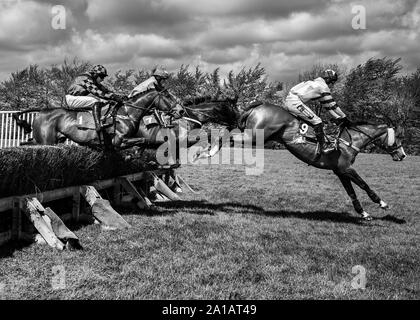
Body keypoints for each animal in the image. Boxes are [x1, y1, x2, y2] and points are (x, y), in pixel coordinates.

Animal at [13, 86, 184, 149]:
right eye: (168, 96)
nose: (181, 111)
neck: (126, 114)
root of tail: (43, 111)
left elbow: (144, 141)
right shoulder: (118, 141)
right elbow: (141, 140)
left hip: (46, 139)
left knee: (25, 143)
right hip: (47, 141)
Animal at [200, 102, 406, 220]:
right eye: (398, 138)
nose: (403, 155)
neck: (351, 139)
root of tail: (257, 107)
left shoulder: (340, 171)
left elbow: (352, 192)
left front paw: (363, 212)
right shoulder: (346, 168)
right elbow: (364, 185)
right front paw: (382, 203)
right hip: (255, 136)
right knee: (226, 135)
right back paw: (208, 152)